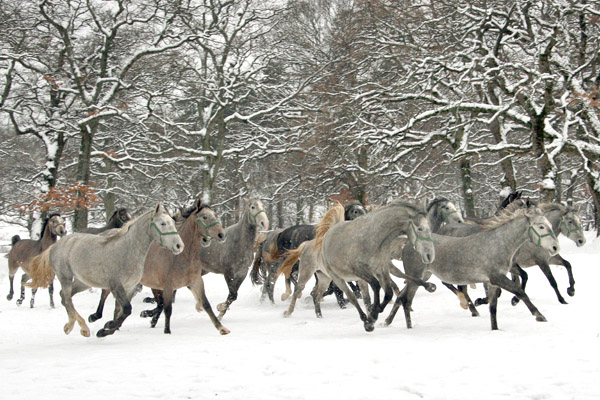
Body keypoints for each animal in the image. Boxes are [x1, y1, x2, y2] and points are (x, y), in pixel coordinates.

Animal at [137, 199, 229, 334]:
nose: (222, 235)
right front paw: (167, 331)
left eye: (215, 215)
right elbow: (168, 309)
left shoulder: (196, 281)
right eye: (205, 217)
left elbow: (206, 304)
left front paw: (221, 328)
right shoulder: (168, 286)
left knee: (159, 304)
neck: (183, 256)